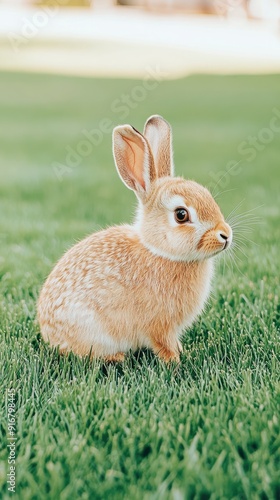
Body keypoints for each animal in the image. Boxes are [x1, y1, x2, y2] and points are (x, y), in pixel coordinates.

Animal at [37, 115, 232, 362]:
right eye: (181, 215)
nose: (225, 235)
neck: (159, 250)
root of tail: (48, 333)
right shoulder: (159, 325)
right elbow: (163, 344)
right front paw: (175, 361)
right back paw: (116, 357)